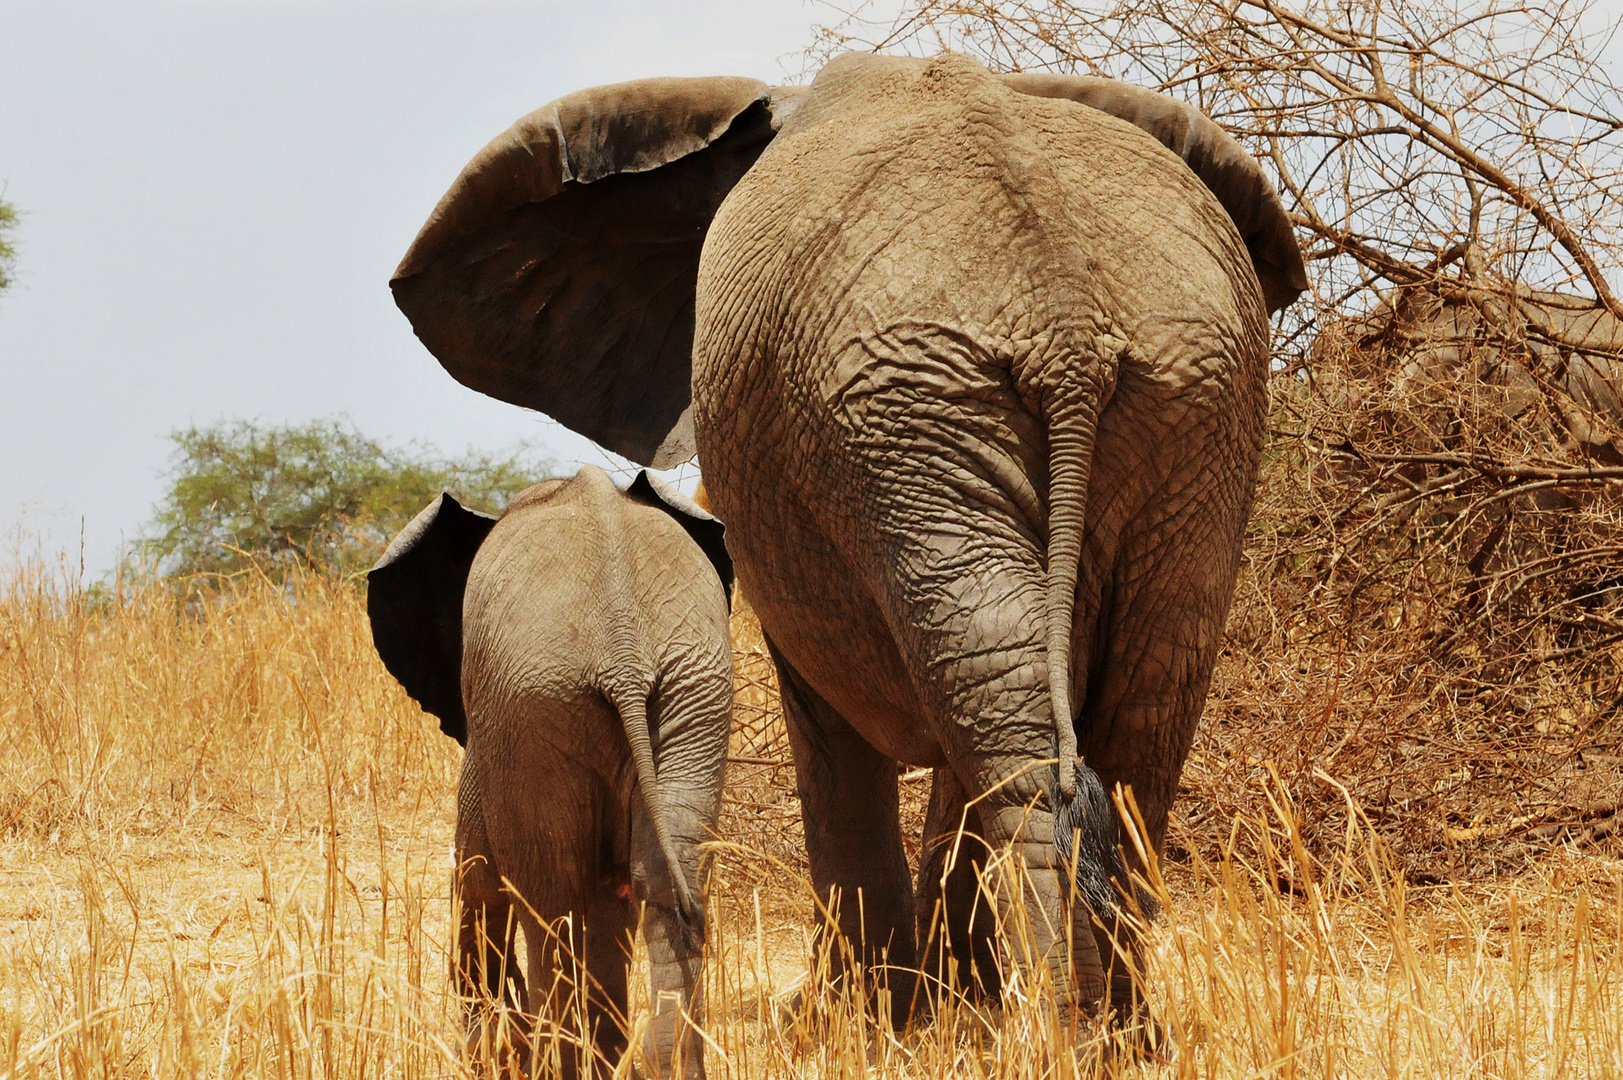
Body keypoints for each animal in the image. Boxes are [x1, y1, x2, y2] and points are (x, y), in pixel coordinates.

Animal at [371, 467, 733, 1078]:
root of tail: (624, 652)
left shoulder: (491, 732)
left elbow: (477, 875)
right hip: (691, 689)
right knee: (664, 875)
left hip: (535, 703)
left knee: (551, 899)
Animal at [389, 52, 1304, 1026]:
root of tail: (1064, 326)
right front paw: (939, 1007)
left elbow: (821, 704)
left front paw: (867, 1019)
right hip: (1172, 408)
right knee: (1120, 713)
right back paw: (1118, 1032)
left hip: (919, 418)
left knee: (1017, 715)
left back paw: (1062, 1028)